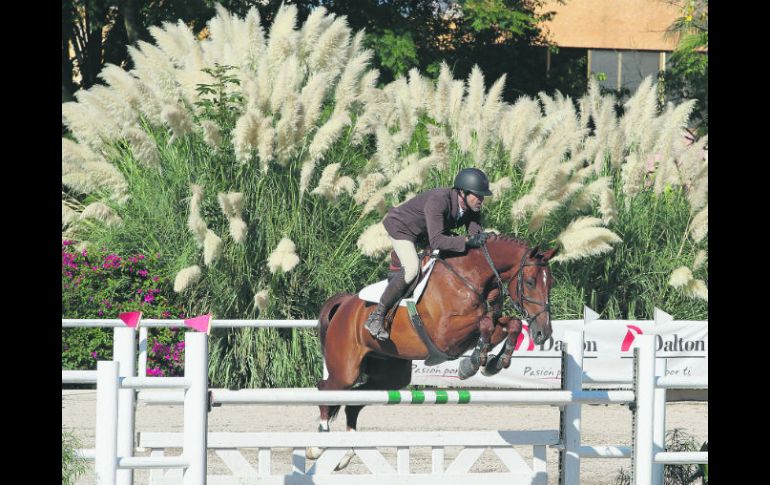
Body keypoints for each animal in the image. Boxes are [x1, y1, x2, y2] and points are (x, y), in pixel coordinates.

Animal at [306, 234, 560, 462]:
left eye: (551, 284)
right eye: (530, 282)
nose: (543, 333)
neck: (470, 277)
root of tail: (344, 304)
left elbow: (510, 324)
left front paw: (494, 363)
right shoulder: (445, 334)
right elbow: (485, 323)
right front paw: (472, 363)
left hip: (390, 375)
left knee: (353, 403)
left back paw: (348, 452)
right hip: (346, 370)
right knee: (326, 388)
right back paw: (317, 446)